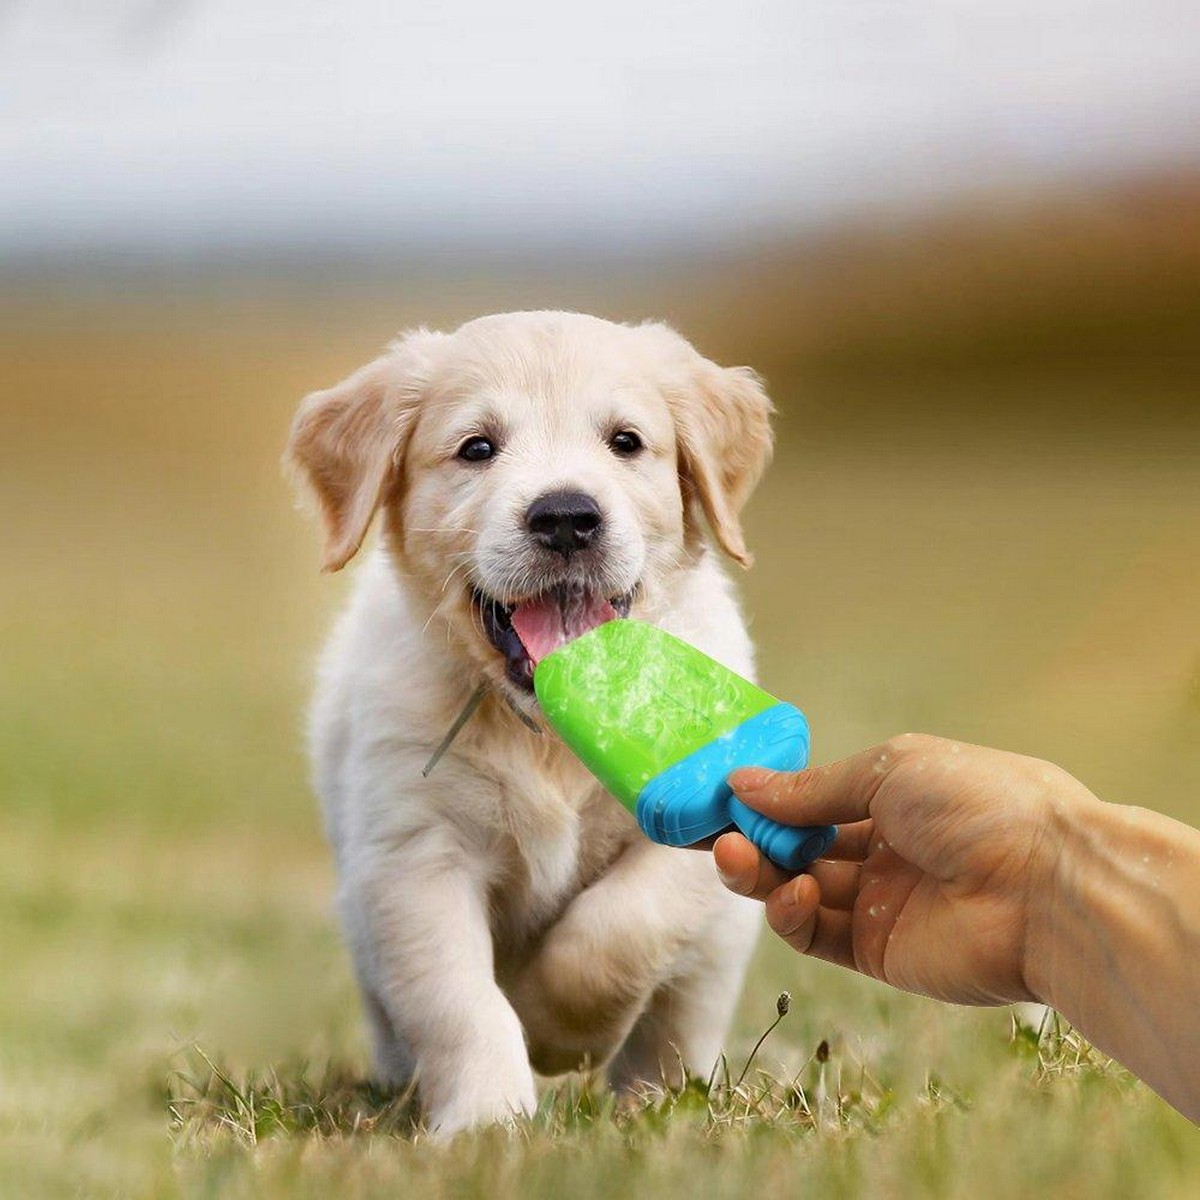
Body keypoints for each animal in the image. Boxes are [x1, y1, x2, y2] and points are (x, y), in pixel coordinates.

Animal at [290, 309, 777, 1132]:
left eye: (625, 442)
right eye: (477, 448)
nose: (567, 518)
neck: (548, 731)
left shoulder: (696, 830)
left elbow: (619, 929)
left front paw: (555, 1031)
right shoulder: (413, 858)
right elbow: (460, 1001)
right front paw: (488, 1120)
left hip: (721, 944)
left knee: (679, 1018)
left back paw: (661, 1099)